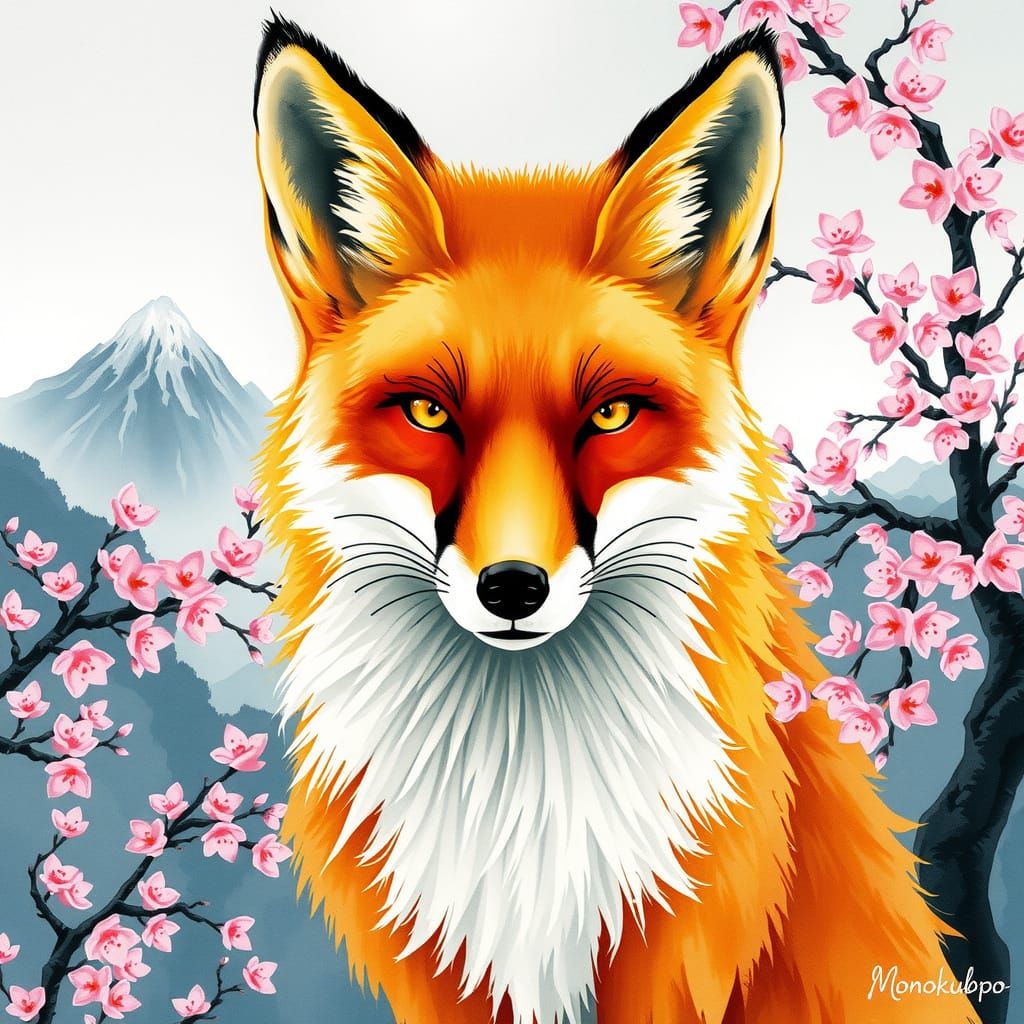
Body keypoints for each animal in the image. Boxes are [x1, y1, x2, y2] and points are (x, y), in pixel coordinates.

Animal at [252, 14, 979, 1024]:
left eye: (611, 416)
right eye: (429, 413)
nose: (512, 588)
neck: (522, 804)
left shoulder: (680, 942)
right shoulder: (442, 966)